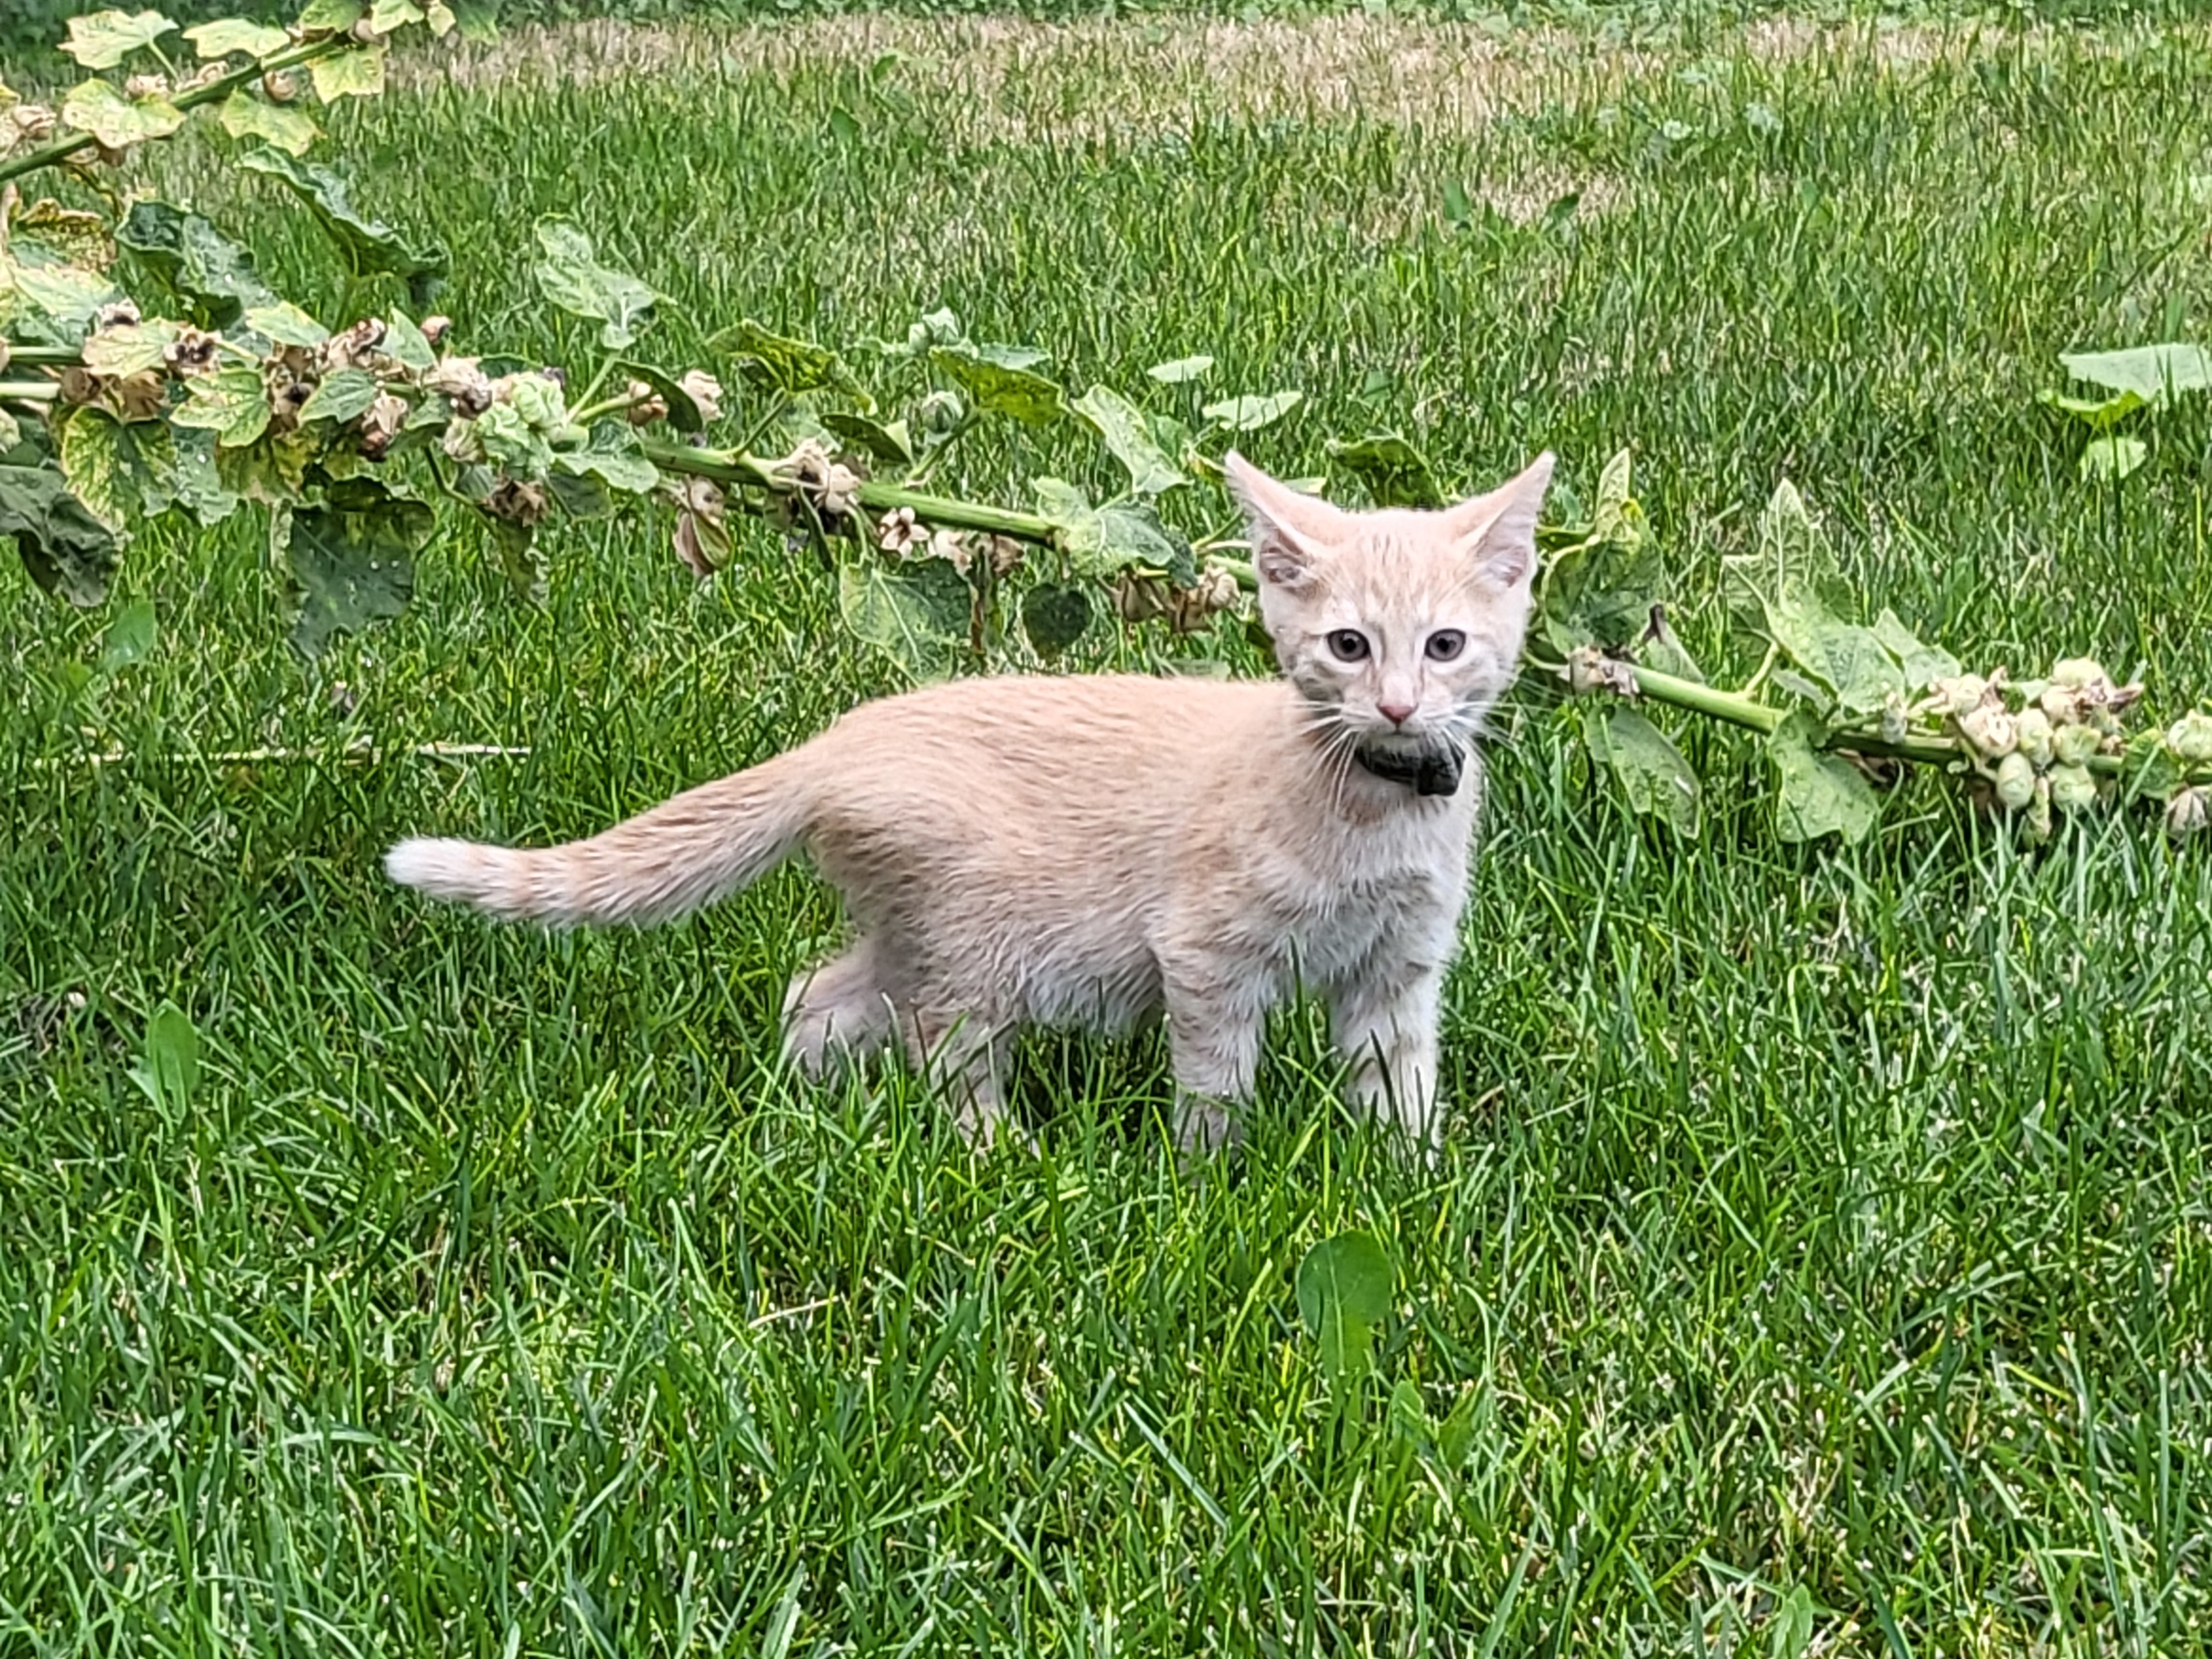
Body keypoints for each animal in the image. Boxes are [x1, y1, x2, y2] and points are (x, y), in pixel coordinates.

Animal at [385, 449, 1557, 1159]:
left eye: (1445, 645)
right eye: (1348, 645)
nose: (1398, 704)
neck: (1374, 807)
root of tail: (839, 740)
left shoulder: (1401, 968)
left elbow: (1399, 1079)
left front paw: (1408, 1177)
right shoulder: (1206, 954)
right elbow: (1216, 1080)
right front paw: (1209, 1179)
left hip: (920, 933)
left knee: (818, 994)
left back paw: (812, 1105)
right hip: (981, 941)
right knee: (942, 1048)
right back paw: (1000, 1156)